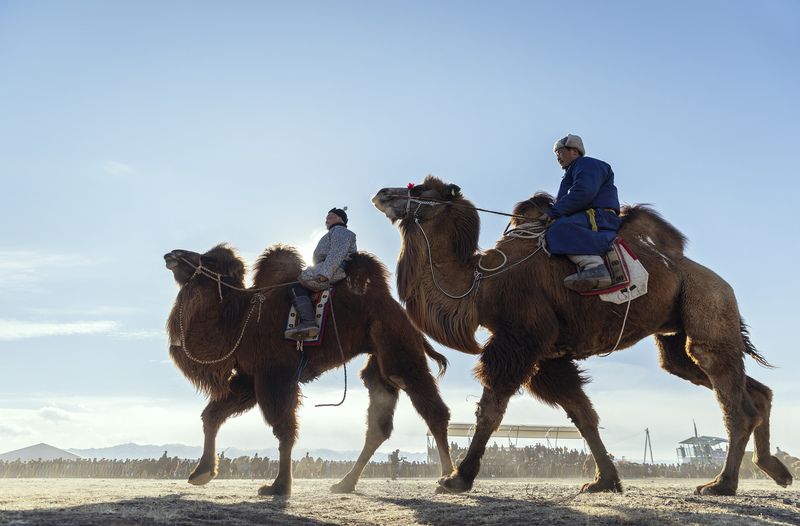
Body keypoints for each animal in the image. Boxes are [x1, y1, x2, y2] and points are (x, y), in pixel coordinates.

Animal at [164, 243, 454, 495]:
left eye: (209, 260)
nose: (172, 254)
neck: (240, 319)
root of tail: (406, 316)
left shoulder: (275, 374)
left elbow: (284, 428)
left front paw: (279, 487)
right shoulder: (250, 377)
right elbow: (211, 415)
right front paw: (201, 473)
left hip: (398, 345)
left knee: (431, 408)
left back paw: (448, 478)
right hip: (379, 361)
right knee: (379, 424)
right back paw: (345, 483)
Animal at [372, 175, 792, 496]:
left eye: (422, 189)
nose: (383, 194)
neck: (481, 284)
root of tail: (721, 283)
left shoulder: (520, 339)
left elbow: (490, 409)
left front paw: (457, 478)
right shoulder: (549, 356)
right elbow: (582, 414)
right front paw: (604, 480)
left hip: (709, 307)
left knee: (732, 397)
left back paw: (721, 484)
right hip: (677, 332)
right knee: (739, 386)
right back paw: (775, 468)